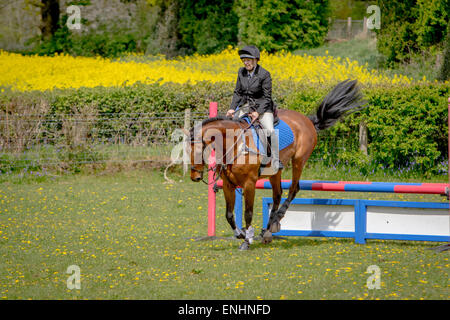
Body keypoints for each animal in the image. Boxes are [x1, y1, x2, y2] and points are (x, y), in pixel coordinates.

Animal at [186, 79, 366, 250]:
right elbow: (229, 215)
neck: (235, 145)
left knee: (293, 189)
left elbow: (248, 213)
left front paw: (247, 240)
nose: (195, 177)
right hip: (275, 172)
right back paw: (267, 230)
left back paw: (274, 222)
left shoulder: (249, 183)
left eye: (199, 151)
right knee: (277, 194)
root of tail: (307, 120)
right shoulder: (228, 185)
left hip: (299, 161)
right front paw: (241, 234)